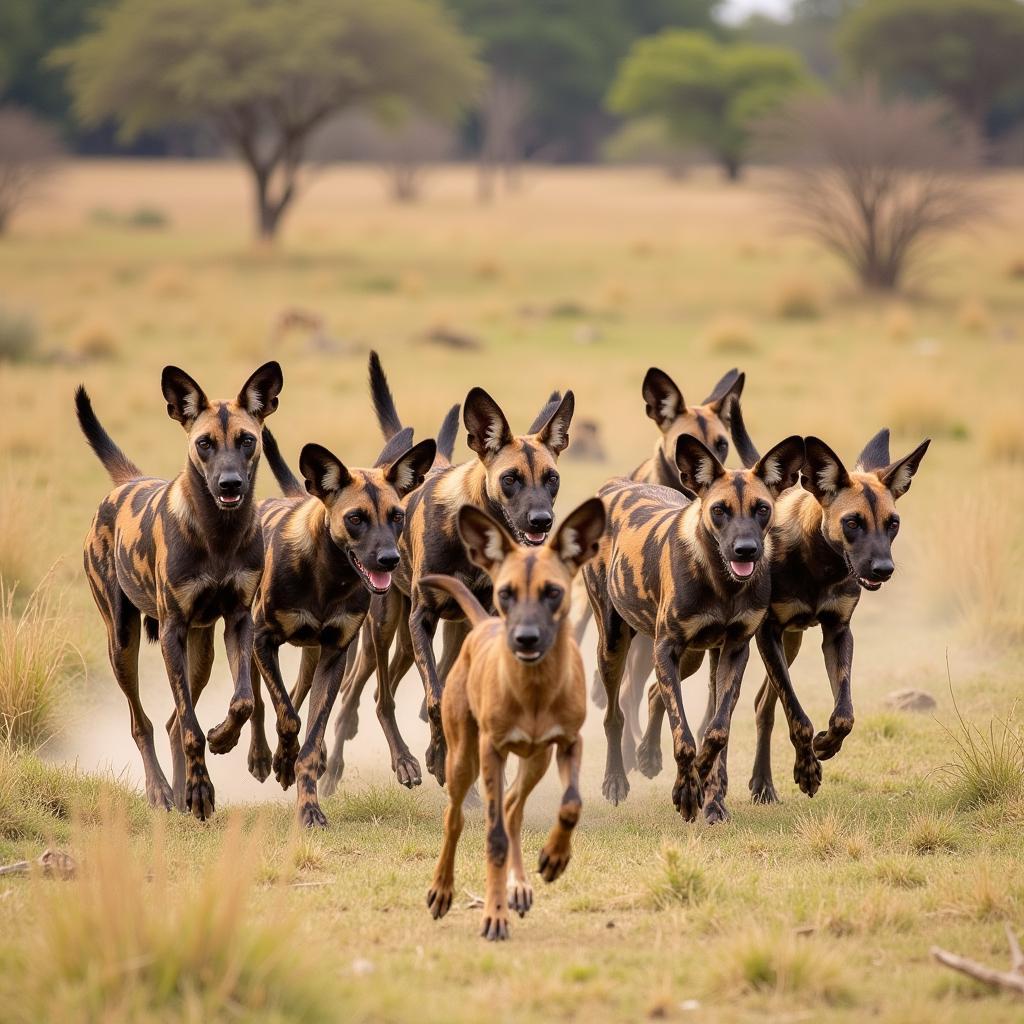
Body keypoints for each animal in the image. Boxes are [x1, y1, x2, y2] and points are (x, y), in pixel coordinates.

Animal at [75, 364, 284, 819]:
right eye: (205, 443)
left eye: (247, 440)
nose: (229, 484)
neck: (219, 535)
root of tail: (129, 481)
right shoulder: (172, 629)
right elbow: (191, 730)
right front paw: (201, 790)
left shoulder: (238, 621)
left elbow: (241, 703)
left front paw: (223, 739)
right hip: (122, 643)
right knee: (144, 723)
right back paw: (161, 792)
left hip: (200, 654)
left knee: (172, 722)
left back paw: (180, 788)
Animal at [253, 430, 438, 823]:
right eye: (356, 518)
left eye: (397, 516)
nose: (390, 559)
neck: (327, 577)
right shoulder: (262, 642)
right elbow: (288, 719)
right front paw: (284, 763)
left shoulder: (334, 655)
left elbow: (309, 737)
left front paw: (308, 806)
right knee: (260, 704)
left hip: (317, 657)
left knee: (296, 697)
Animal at [419, 499, 602, 937]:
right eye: (505, 593)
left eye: (553, 592)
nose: (525, 638)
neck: (534, 688)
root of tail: (483, 624)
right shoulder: (492, 749)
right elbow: (494, 839)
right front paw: (494, 916)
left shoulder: (568, 742)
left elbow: (571, 804)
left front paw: (554, 858)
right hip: (463, 757)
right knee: (457, 817)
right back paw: (442, 890)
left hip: (536, 759)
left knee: (514, 808)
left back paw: (518, 886)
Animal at [585, 432, 806, 823]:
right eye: (719, 510)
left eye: (762, 509)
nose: (746, 550)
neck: (722, 585)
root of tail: (616, 486)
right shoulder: (665, 650)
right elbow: (684, 736)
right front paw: (688, 791)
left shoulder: (734, 650)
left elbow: (715, 733)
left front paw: (706, 789)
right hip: (613, 647)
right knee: (615, 714)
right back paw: (615, 781)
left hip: (694, 658)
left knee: (653, 693)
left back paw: (651, 758)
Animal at [741, 428, 933, 802]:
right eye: (852, 522)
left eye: (893, 523)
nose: (883, 569)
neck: (820, 568)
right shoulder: (767, 633)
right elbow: (799, 718)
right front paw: (807, 769)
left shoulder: (838, 633)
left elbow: (844, 715)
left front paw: (826, 746)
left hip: (791, 644)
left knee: (762, 706)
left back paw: (763, 783)